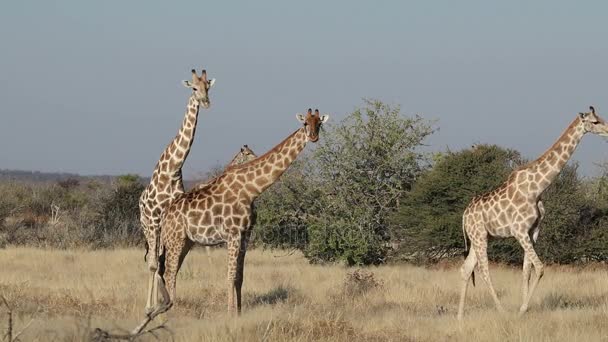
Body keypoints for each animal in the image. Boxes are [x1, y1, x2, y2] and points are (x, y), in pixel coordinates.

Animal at [139, 68, 215, 314]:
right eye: (194, 88)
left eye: (208, 87)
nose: (206, 102)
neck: (173, 168)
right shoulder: (155, 220)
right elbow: (154, 264)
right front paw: (150, 307)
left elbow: (167, 263)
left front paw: (164, 303)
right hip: (148, 226)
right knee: (153, 262)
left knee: (162, 260)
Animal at [458, 105, 608, 320]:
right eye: (595, 121)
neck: (537, 188)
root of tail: (464, 216)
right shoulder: (519, 231)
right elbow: (540, 268)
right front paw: (522, 310)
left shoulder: (533, 231)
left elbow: (526, 270)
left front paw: (524, 307)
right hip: (479, 236)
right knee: (484, 270)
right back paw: (502, 311)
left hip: (481, 236)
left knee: (466, 268)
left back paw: (460, 317)